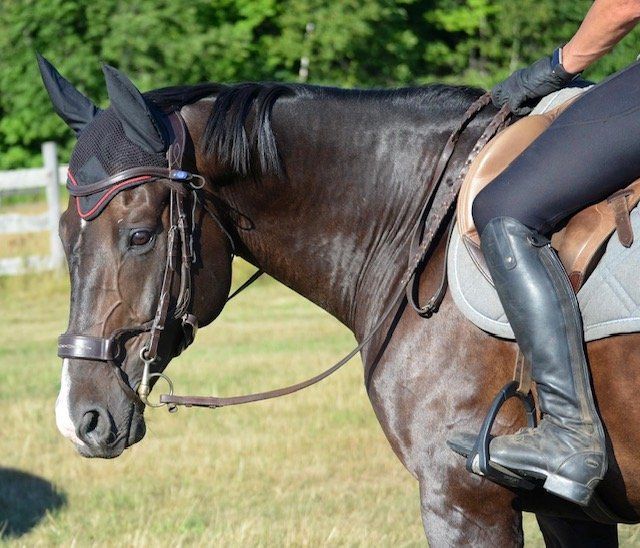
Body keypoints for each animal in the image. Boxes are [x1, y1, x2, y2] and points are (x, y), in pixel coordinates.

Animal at [39, 55, 640, 546]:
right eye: (65, 235)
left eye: (140, 235)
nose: (79, 419)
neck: (420, 227)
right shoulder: (564, 516)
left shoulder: (463, 502)